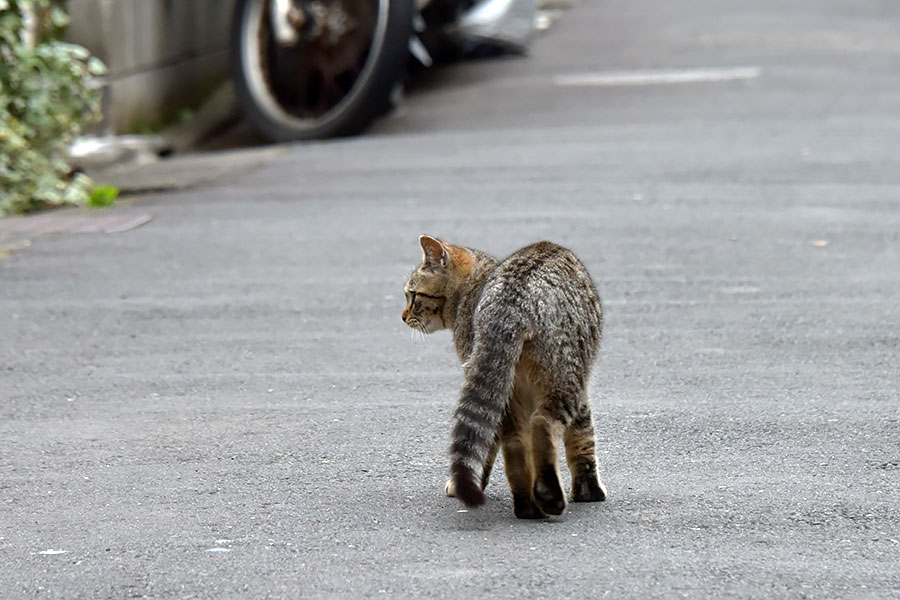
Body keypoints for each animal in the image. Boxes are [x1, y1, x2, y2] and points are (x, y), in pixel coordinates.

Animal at [404, 237, 608, 516]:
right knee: (536, 427)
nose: (403, 316)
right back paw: (542, 499)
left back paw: (529, 504)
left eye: (412, 295)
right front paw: (589, 490)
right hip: (557, 377)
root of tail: (513, 298)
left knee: (520, 438)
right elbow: (583, 437)